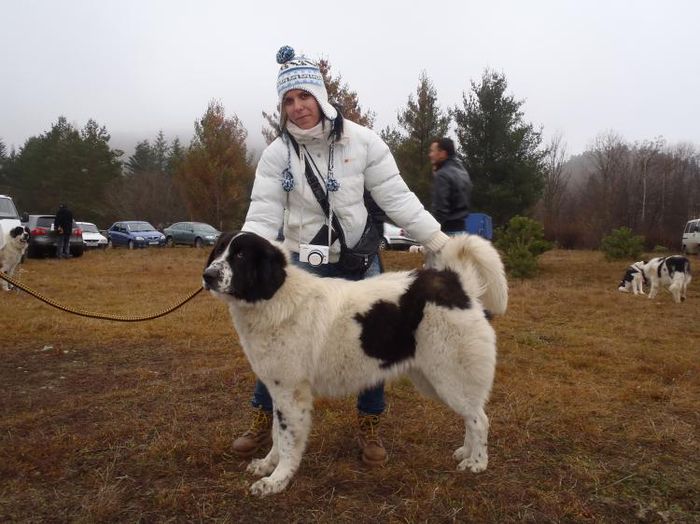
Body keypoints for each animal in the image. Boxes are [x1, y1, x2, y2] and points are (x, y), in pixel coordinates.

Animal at [204, 232, 508, 496]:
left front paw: (277, 481)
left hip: (449, 378)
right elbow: (277, 435)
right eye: (218, 251)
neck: (276, 297)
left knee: (479, 419)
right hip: (434, 380)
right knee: (471, 416)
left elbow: (288, 441)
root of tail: (455, 281)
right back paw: (466, 452)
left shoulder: (292, 393)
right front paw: (268, 465)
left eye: (240, 256)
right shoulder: (280, 391)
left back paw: (477, 462)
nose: (207, 275)